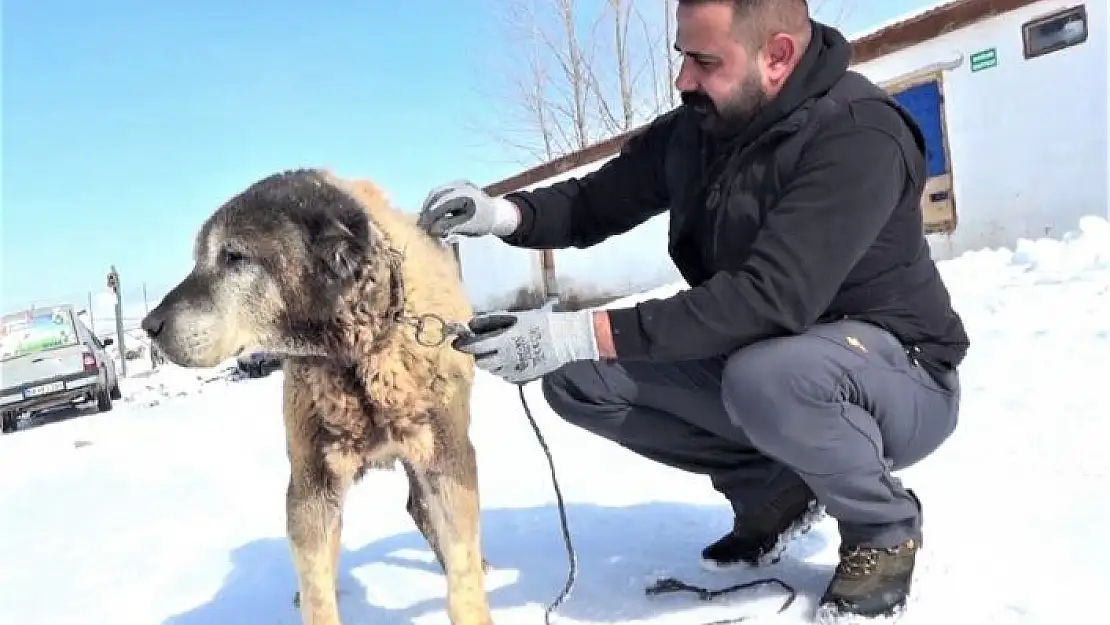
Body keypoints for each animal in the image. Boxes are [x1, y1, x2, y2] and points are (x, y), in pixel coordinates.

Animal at [142, 168, 495, 621]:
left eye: (234, 257)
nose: (149, 326)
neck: (357, 356)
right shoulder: (311, 483)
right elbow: (316, 586)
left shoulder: (447, 458)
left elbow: (462, 576)